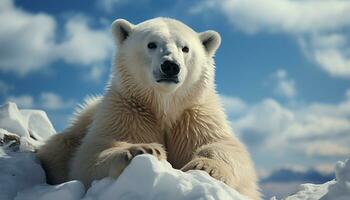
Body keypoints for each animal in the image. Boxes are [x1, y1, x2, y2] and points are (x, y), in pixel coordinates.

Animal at [37, 18, 260, 199]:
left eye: (185, 48)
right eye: (151, 44)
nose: (170, 66)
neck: (164, 104)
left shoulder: (195, 116)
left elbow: (222, 146)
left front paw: (205, 166)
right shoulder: (127, 111)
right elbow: (91, 155)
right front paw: (142, 150)